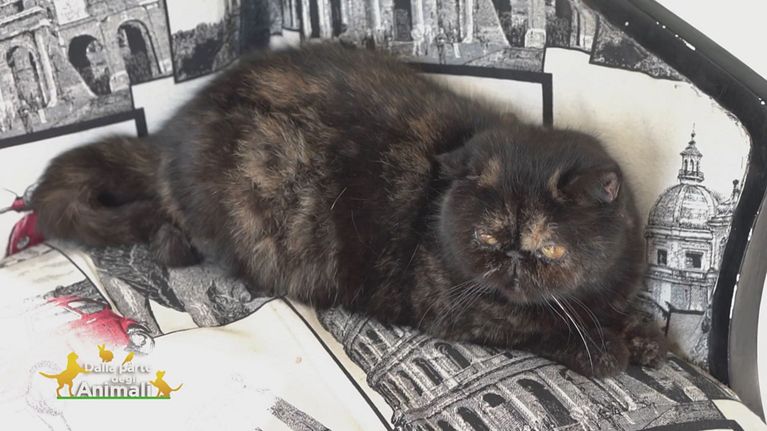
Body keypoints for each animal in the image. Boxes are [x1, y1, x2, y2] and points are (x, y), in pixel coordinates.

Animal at [31, 43, 666, 377]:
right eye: (488, 238)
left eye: (549, 248)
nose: (512, 264)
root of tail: (169, 136)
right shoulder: (454, 305)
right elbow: (534, 323)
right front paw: (604, 347)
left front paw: (642, 333)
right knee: (170, 234)